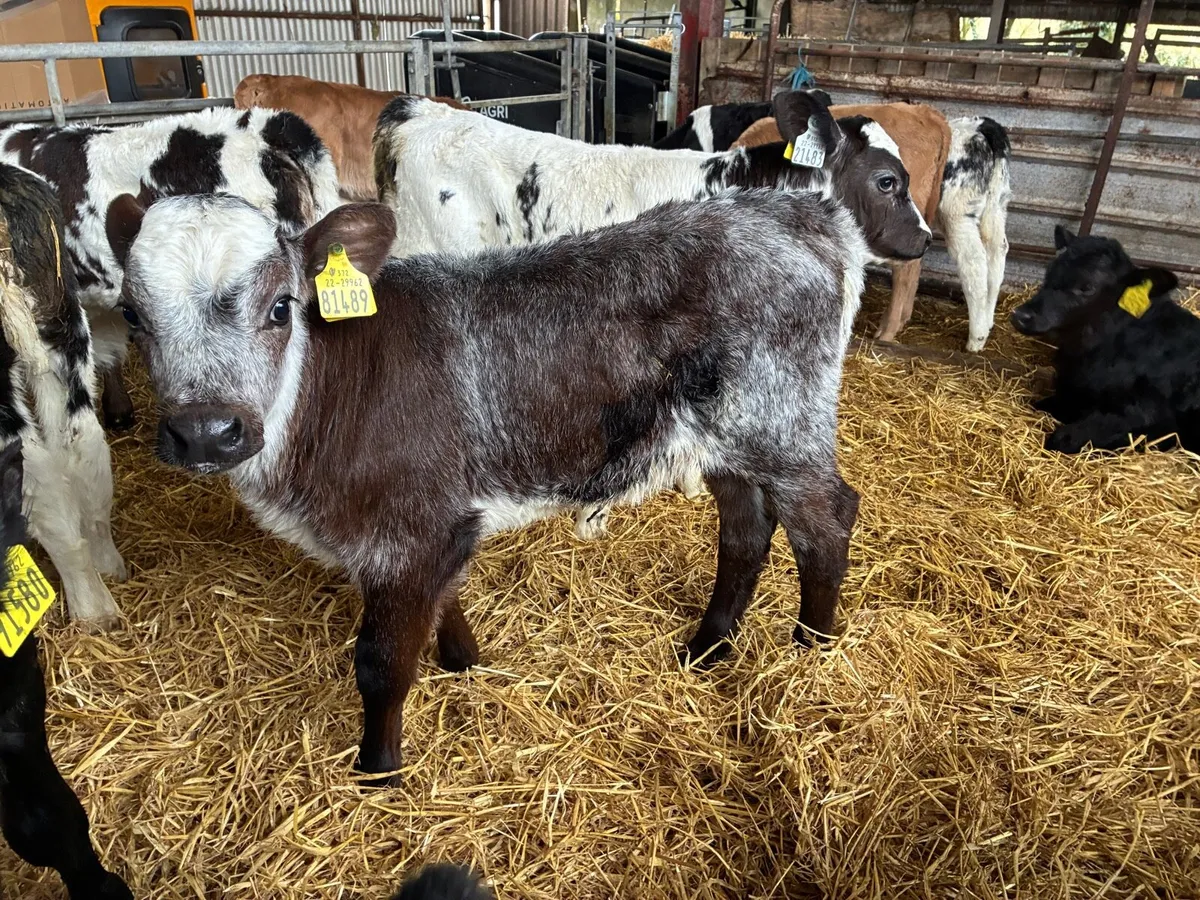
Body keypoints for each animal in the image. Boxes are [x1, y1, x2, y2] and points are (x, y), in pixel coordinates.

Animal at [104, 185, 905, 783]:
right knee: (746, 530)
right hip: (722, 438)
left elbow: (382, 664)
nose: (206, 432)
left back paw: (811, 650)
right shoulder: (436, 523)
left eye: (281, 307)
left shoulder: (409, 528)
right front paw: (466, 663)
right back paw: (708, 646)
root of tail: (792, 210)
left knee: (827, 519)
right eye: (131, 317)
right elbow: (444, 605)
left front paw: (379, 770)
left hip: (782, 423)